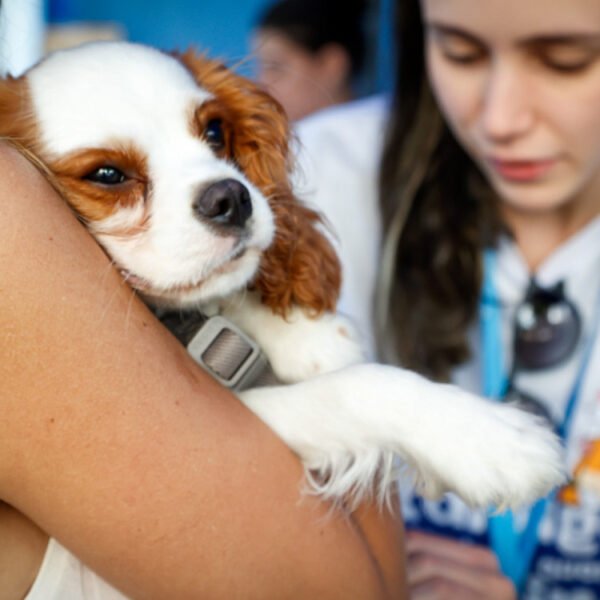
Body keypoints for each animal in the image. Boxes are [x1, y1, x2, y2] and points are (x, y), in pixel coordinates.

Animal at [0, 42, 564, 508]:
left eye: (215, 132)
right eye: (107, 175)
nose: (230, 197)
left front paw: (307, 337)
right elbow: (355, 386)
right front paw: (491, 440)